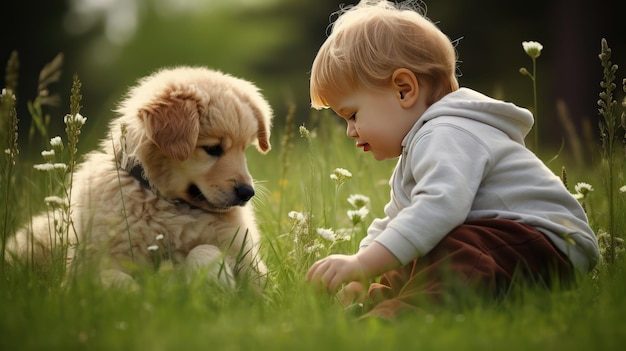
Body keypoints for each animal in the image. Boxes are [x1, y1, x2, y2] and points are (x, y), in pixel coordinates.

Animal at [5, 66, 270, 292]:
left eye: (244, 149)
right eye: (213, 149)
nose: (247, 193)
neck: (168, 204)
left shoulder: (254, 269)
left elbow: (205, 250)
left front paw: (213, 285)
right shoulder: (83, 269)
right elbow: (113, 280)